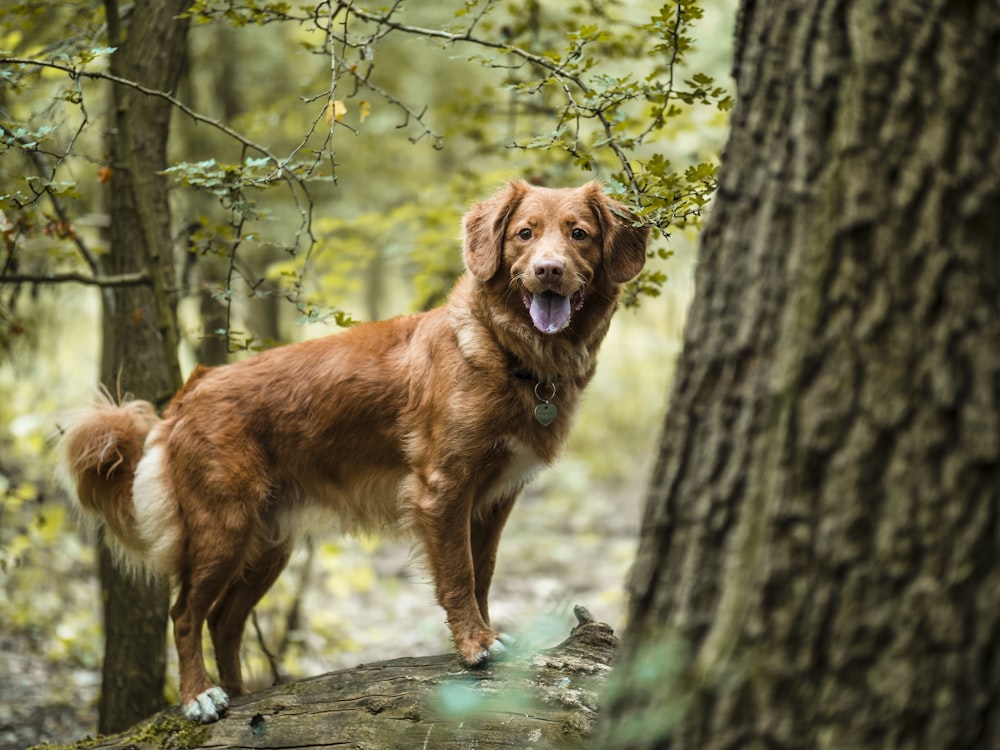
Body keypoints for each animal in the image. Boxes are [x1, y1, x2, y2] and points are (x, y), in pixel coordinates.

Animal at [66, 179, 652, 724]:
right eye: (524, 234)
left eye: (579, 234)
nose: (549, 271)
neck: (506, 351)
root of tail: (192, 390)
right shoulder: (441, 490)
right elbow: (459, 576)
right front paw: (475, 646)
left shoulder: (493, 500)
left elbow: (482, 574)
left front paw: (484, 635)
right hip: (223, 527)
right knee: (186, 614)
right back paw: (199, 697)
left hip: (268, 543)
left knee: (223, 621)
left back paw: (241, 694)